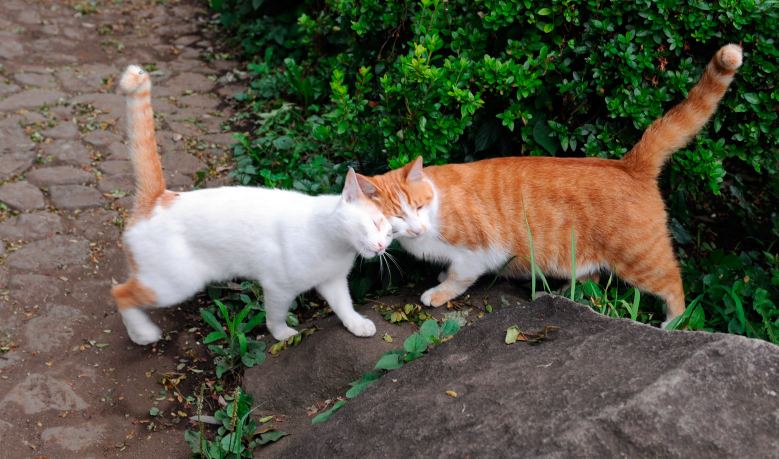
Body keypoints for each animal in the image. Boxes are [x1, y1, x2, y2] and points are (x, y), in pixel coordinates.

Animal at [112, 65, 394, 344]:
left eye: (390, 233)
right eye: (374, 223)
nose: (382, 245)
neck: (336, 245)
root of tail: (160, 196)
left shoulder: (333, 281)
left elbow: (345, 306)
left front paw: (357, 324)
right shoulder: (278, 287)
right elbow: (276, 316)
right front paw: (282, 335)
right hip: (173, 284)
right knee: (119, 292)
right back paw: (142, 333)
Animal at [356, 43, 740, 328]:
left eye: (418, 207)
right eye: (395, 217)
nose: (417, 229)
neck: (435, 208)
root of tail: (628, 163)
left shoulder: (477, 254)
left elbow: (457, 278)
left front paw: (437, 292)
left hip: (641, 259)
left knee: (674, 283)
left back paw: (672, 324)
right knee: (590, 283)